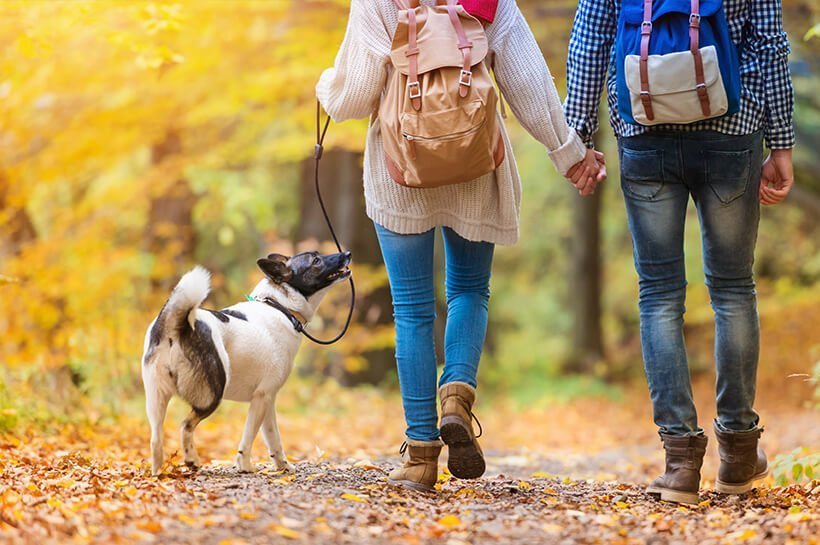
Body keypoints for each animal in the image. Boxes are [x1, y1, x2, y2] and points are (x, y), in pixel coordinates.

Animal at [142, 249, 352, 474]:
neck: (280, 306)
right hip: (211, 396)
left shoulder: (268, 400)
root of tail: (177, 324)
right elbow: (248, 438)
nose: (347, 253)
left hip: (156, 399)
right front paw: (245, 466)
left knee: (156, 440)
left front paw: (282, 466)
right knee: (185, 425)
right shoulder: (261, 397)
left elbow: (273, 439)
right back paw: (191, 459)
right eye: (316, 260)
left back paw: (160, 475)